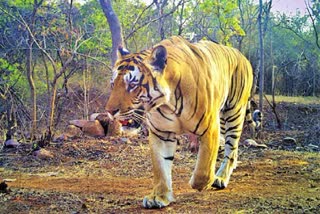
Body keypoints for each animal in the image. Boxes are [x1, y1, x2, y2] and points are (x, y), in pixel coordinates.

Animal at [106, 36, 262, 208]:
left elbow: (203, 168)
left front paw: (202, 183)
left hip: (234, 113)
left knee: (231, 149)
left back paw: (220, 178)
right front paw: (159, 196)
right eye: (113, 84)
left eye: (133, 85)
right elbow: (161, 167)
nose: (109, 111)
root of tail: (242, 56)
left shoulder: (210, 128)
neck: (168, 104)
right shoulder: (161, 133)